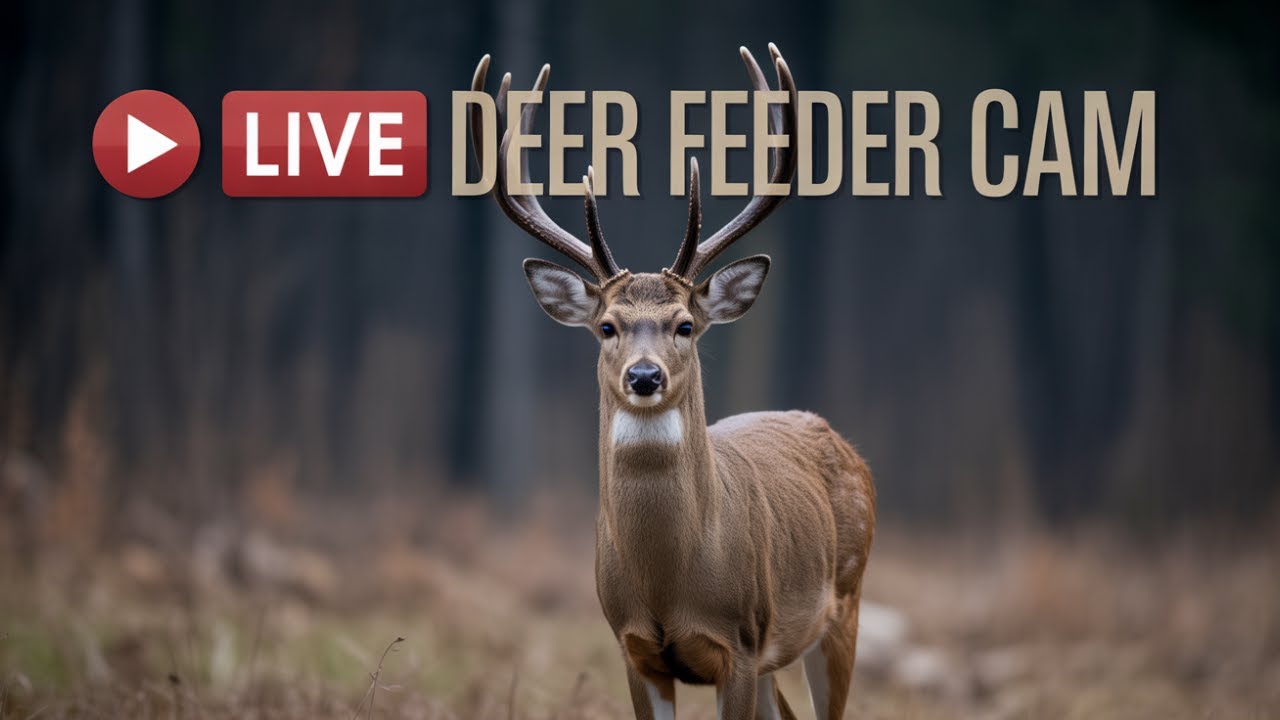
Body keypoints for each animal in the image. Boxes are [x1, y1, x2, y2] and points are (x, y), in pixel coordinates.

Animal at [468, 44, 875, 720]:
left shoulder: (740, 641)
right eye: (607, 326)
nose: (643, 374)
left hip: (844, 602)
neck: (669, 583)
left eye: (685, 325)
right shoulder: (635, 648)